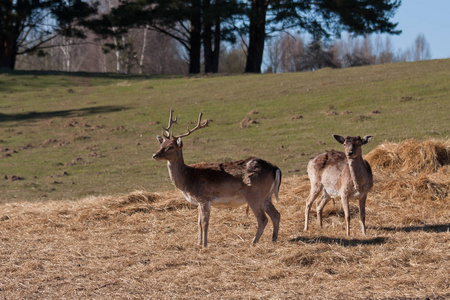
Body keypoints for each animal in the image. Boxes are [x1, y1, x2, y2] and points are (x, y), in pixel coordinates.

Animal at [153, 109, 284, 246]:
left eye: (171, 146)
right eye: (162, 144)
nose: (154, 155)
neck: (188, 179)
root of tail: (276, 168)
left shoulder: (204, 198)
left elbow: (205, 223)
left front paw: (205, 245)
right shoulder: (199, 202)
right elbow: (198, 223)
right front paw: (199, 244)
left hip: (254, 195)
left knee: (263, 219)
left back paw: (253, 242)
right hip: (266, 196)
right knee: (276, 214)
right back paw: (274, 239)